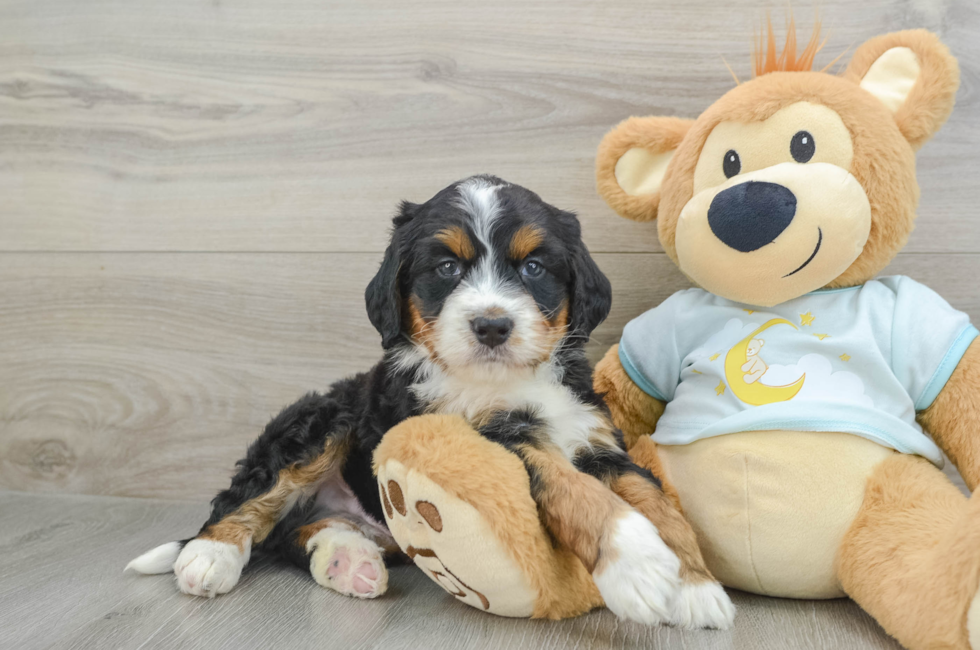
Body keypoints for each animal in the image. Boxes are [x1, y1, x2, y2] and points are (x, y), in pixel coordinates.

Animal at [124, 175, 736, 624]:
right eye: (446, 267)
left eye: (533, 267)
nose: (492, 325)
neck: (506, 381)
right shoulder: (494, 438)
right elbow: (575, 490)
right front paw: (637, 565)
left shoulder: (596, 438)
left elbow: (654, 498)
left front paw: (695, 588)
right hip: (322, 420)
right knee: (250, 498)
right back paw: (209, 556)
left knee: (297, 534)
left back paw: (348, 560)